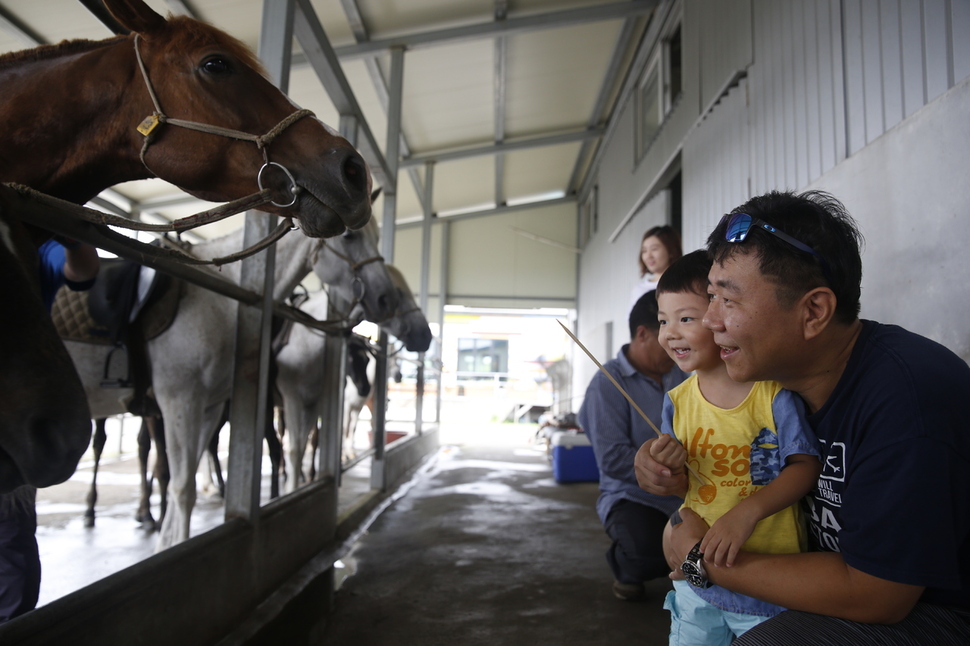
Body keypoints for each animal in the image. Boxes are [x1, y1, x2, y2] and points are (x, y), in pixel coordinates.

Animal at [66, 218, 396, 552]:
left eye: (366, 361)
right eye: (350, 235)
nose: (386, 298)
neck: (214, 298)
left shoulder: (213, 405)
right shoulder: (183, 400)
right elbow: (183, 483)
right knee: (119, 447)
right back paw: (117, 511)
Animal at [274, 264, 430, 492]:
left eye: (367, 361)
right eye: (398, 294)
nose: (426, 336)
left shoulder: (354, 405)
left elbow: (351, 428)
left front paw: (348, 454)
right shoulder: (326, 403)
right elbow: (338, 430)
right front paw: (341, 458)